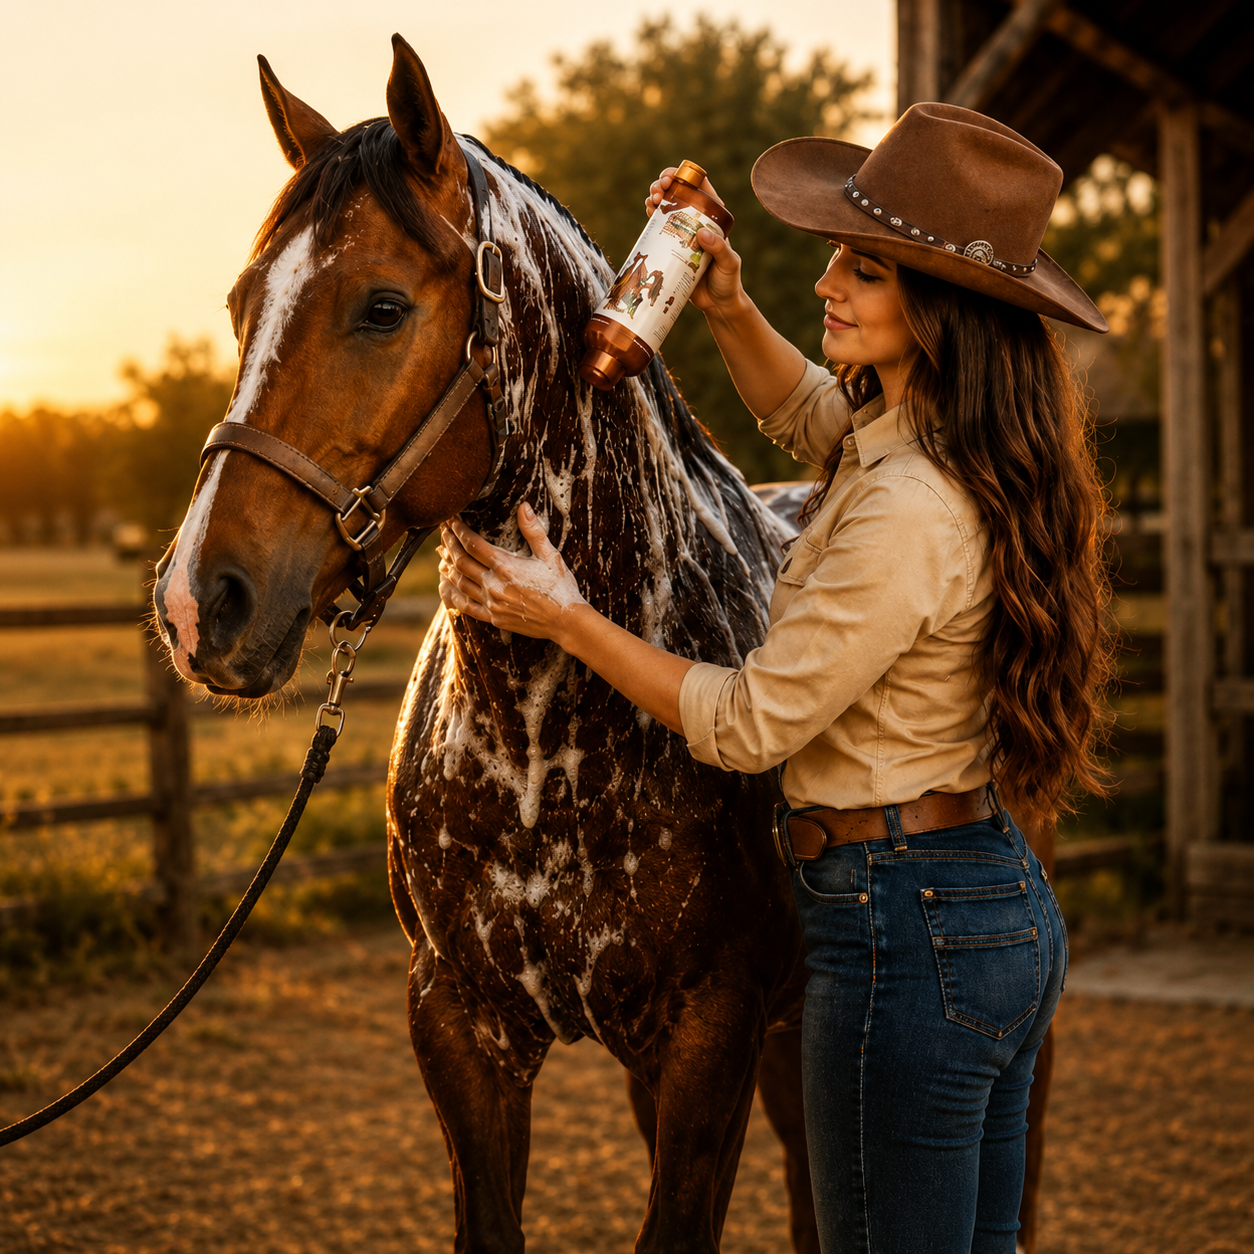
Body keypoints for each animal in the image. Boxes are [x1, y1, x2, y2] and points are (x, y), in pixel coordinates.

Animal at [152, 34, 816, 1254]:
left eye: (380, 307)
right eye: (239, 304)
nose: (195, 604)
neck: (541, 741)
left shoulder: (710, 1041)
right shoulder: (460, 1029)